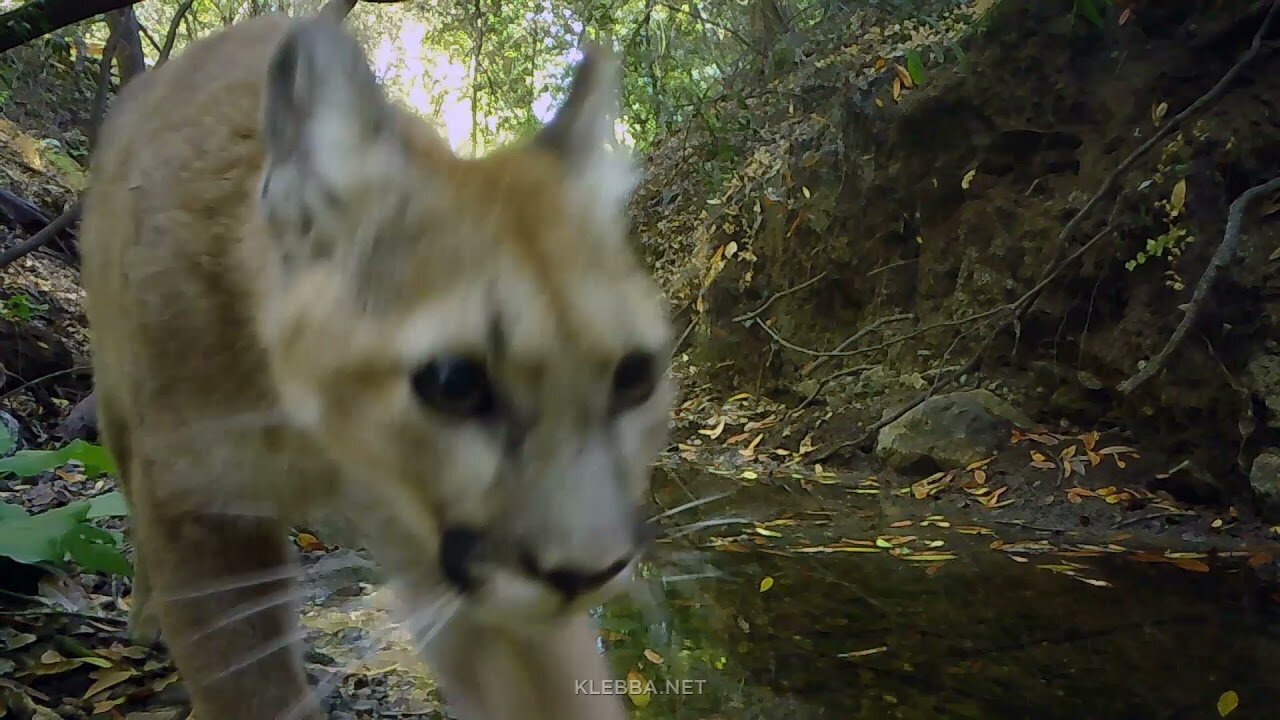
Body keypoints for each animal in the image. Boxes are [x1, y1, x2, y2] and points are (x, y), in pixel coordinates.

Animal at [80, 2, 675, 712]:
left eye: (636, 376)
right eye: (453, 382)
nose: (586, 572)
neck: (313, 431)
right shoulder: (204, 515)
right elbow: (253, 692)